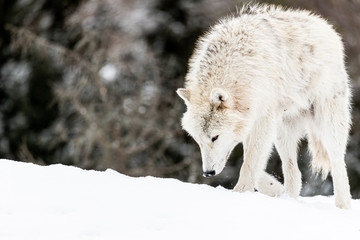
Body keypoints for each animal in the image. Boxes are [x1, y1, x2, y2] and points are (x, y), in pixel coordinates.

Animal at [177, 4, 352, 209]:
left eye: (215, 137)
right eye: (198, 140)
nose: (208, 173)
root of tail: (327, 27)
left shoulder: (263, 119)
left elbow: (249, 162)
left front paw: (240, 193)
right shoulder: (251, 121)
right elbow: (251, 162)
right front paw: (273, 187)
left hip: (327, 123)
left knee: (338, 164)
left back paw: (343, 206)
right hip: (282, 132)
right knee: (295, 173)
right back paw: (287, 200)